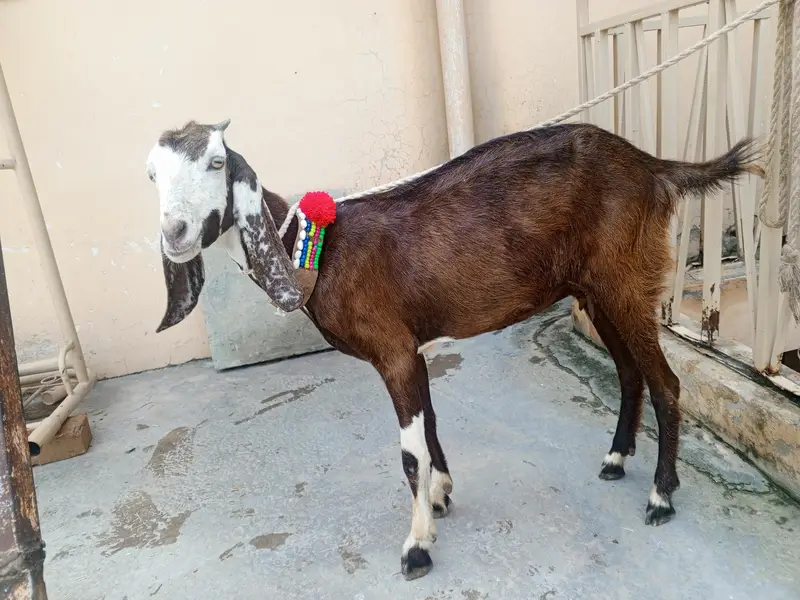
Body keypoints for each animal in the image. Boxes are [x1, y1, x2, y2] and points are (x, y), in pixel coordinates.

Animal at [146, 119, 761, 580]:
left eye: (216, 163)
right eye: (152, 174)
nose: (175, 233)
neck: (318, 248)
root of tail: (653, 166)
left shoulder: (392, 350)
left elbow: (408, 453)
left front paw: (417, 545)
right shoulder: (412, 350)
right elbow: (432, 427)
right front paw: (440, 495)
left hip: (625, 279)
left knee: (667, 382)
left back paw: (660, 497)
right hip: (595, 291)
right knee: (630, 372)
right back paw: (615, 460)